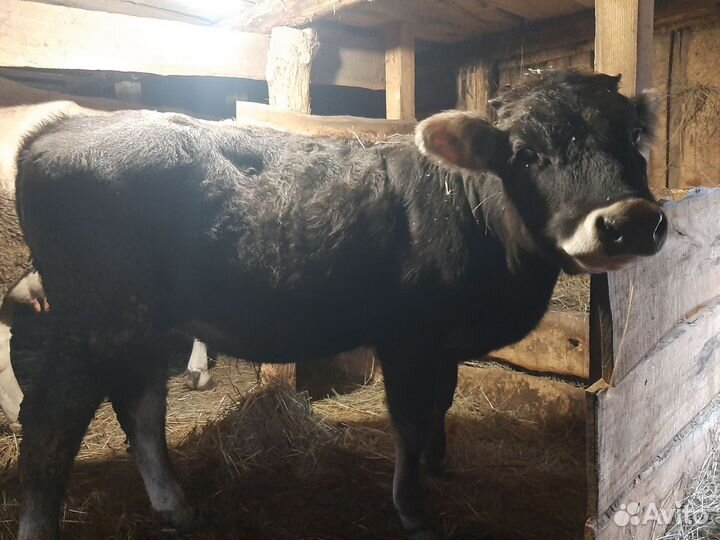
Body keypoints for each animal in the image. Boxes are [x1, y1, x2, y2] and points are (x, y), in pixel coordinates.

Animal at [14, 70, 666, 540]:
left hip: (138, 323)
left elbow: (441, 404)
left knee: (141, 408)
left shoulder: (443, 343)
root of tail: (60, 127)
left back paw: (177, 508)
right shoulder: (407, 340)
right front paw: (413, 510)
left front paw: (441, 465)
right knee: (50, 427)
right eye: (526, 152)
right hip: (93, 320)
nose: (629, 221)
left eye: (633, 137)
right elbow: (408, 421)